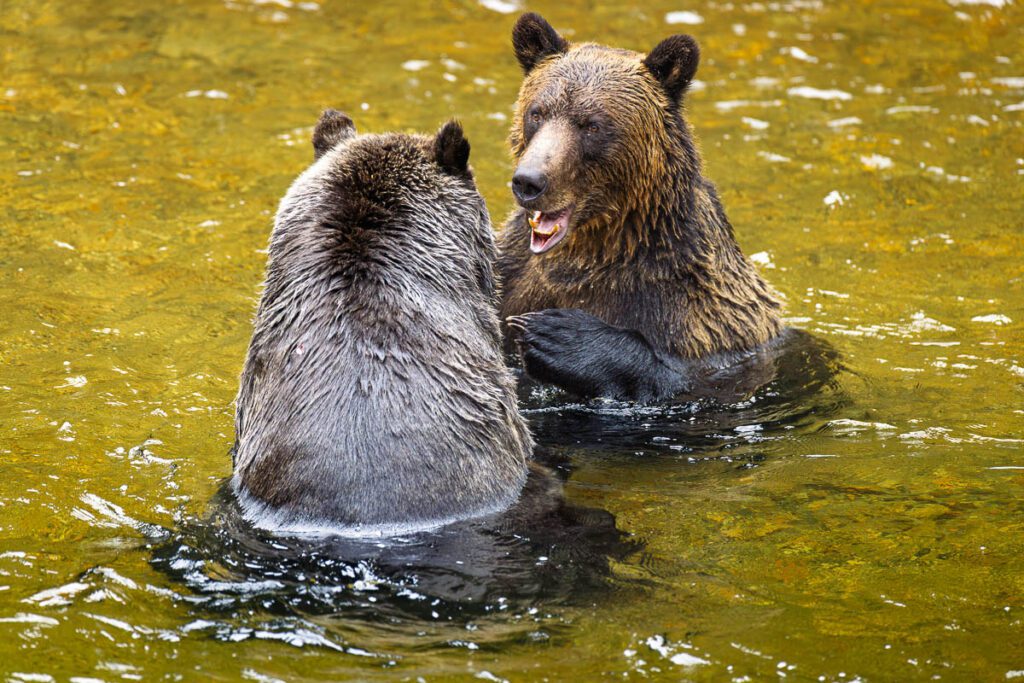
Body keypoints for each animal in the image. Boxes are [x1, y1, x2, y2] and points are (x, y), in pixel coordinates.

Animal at [498, 13, 787, 402]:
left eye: (592, 125)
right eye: (537, 113)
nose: (529, 181)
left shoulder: (694, 315)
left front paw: (557, 334)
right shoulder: (513, 276)